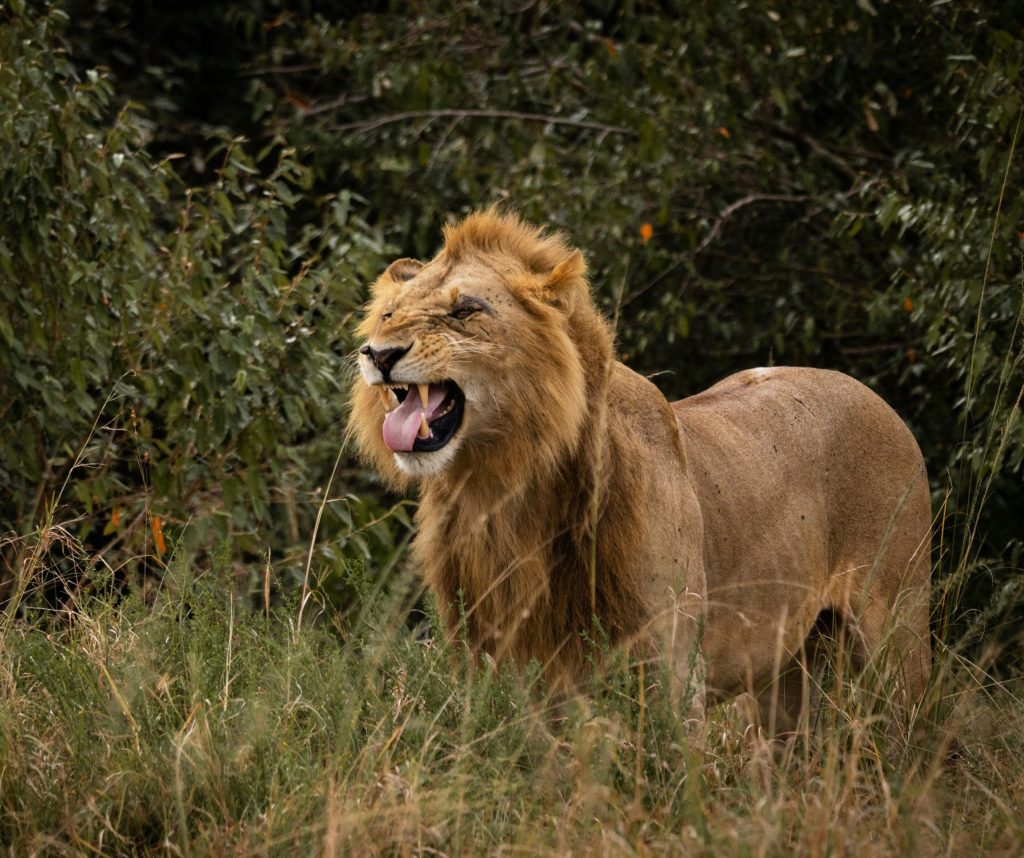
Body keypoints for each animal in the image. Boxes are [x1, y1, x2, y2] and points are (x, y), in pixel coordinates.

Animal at [350, 209, 932, 731]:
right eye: (389, 314)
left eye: (465, 310)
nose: (378, 354)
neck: (502, 485)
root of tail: (876, 398)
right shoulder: (494, 664)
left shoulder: (673, 668)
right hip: (785, 675)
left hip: (898, 633)